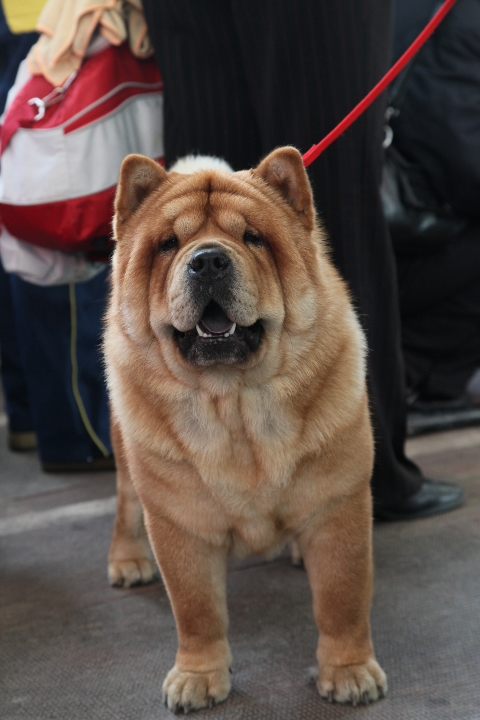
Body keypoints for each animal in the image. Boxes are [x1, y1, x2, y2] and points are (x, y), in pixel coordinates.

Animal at [104, 143, 386, 712]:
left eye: (253, 237)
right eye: (167, 245)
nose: (209, 259)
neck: (234, 404)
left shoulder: (337, 504)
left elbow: (342, 599)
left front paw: (348, 673)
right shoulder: (180, 522)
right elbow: (197, 610)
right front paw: (198, 677)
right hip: (127, 456)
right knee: (125, 504)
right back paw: (127, 561)